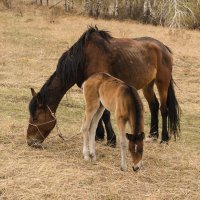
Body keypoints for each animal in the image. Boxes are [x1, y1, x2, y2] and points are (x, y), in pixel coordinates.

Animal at [25, 25, 180, 148]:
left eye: (35, 118)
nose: (30, 142)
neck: (83, 59)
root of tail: (164, 48)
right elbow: (96, 113)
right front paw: (98, 136)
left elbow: (105, 114)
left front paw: (111, 139)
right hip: (147, 85)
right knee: (154, 106)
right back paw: (152, 135)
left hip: (162, 82)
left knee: (163, 109)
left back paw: (164, 139)